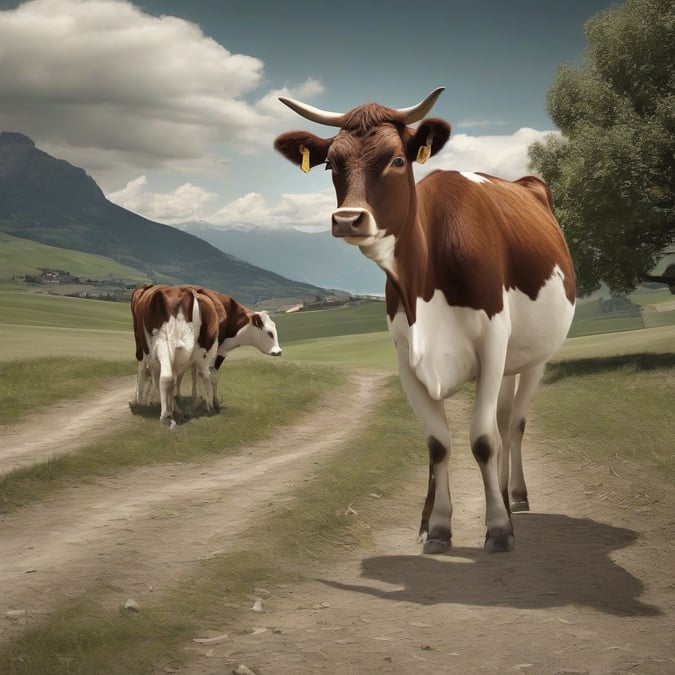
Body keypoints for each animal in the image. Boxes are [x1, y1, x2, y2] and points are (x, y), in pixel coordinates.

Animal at [130, 284, 281, 426]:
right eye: (270, 333)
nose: (278, 351)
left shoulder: (209, 352)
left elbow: (198, 375)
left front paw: (197, 400)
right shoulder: (212, 351)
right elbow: (210, 376)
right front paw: (210, 403)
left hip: (160, 349)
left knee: (163, 377)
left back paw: (167, 409)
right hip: (145, 350)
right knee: (143, 371)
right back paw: (141, 400)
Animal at [274, 88, 576, 553]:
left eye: (398, 160)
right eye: (330, 164)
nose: (347, 219)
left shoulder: (491, 345)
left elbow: (483, 439)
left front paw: (498, 528)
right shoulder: (406, 359)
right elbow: (438, 444)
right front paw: (436, 527)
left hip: (533, 356)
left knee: (512, 424)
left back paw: (515, 499)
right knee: (502, 419)